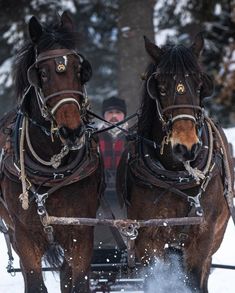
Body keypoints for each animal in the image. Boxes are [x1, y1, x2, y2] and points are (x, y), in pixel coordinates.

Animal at [0, 12, 103, 292]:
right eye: (42, 74)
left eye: (79, 70)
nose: (72, 131)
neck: (51, 170)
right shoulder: (25, 235)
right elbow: (35, 283)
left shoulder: (80, 231)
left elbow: (78, 282)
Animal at [116, 33, 234, 290]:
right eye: (160, 87)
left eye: (200, 85)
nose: (186, 147)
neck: (176, 175)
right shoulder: (147, 238)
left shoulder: (203, 234)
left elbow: (194, 281)